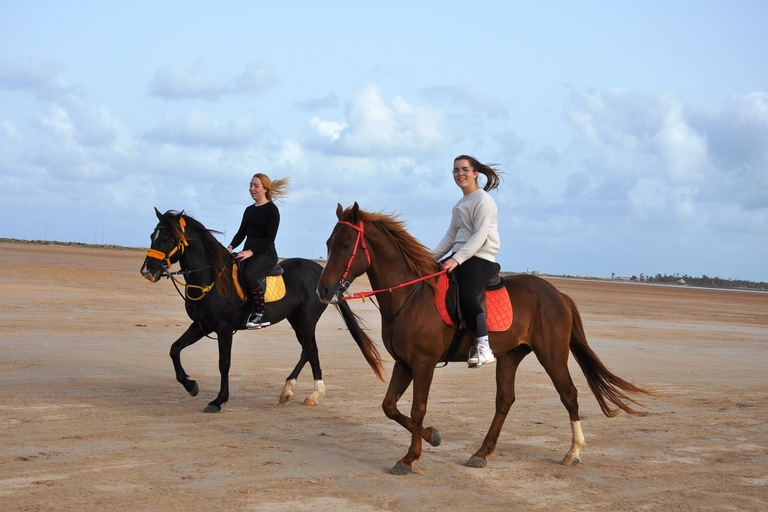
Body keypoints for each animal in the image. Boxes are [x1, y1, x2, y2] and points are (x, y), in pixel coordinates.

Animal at [316, 202, 652, 474]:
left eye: (345, 245)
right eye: (329, 243)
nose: (324, 289)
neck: (410, 294)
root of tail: (558, 295)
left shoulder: (423, 363)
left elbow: (417, 409)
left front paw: (410, 457)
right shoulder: (404, 363)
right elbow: (389, 407)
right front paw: (432, 436)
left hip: (552, 355)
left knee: (568, 394)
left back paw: (573, 452)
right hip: (511, 356)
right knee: (505, 401)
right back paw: (482, 452)